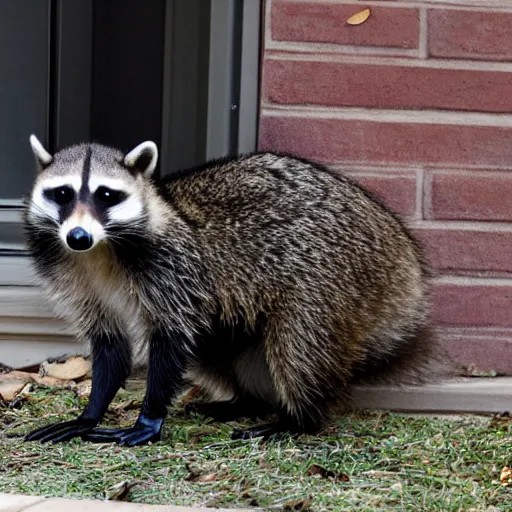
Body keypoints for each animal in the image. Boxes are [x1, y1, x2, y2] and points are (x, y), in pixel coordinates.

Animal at [23, 135, 440, 444]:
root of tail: (393, 235)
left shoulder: (175, 269)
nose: (78, 236)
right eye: (62, 193)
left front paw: (149, 418)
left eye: (106, 195)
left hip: (330, 274)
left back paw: (300, 418)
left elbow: (173, 339)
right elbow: (110, 344)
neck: (102, 249)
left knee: (299, 345)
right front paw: (91, 412)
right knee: (214, 347)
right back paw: (244, 401)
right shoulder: (74, 275)